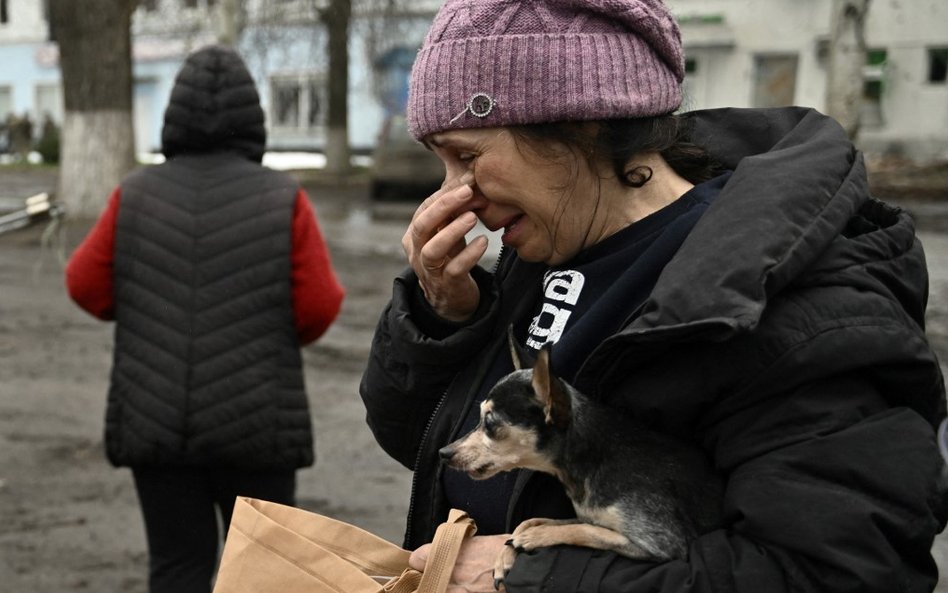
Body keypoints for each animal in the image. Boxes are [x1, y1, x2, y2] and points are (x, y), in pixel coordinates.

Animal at [440, 330, 724, 584]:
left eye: (489, 423)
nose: (444, 453)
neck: (591, 463)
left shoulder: (661, 543)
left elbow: (585, 530)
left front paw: (534, 538)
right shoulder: (588, 514)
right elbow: (536, 521)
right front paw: (506, 555)